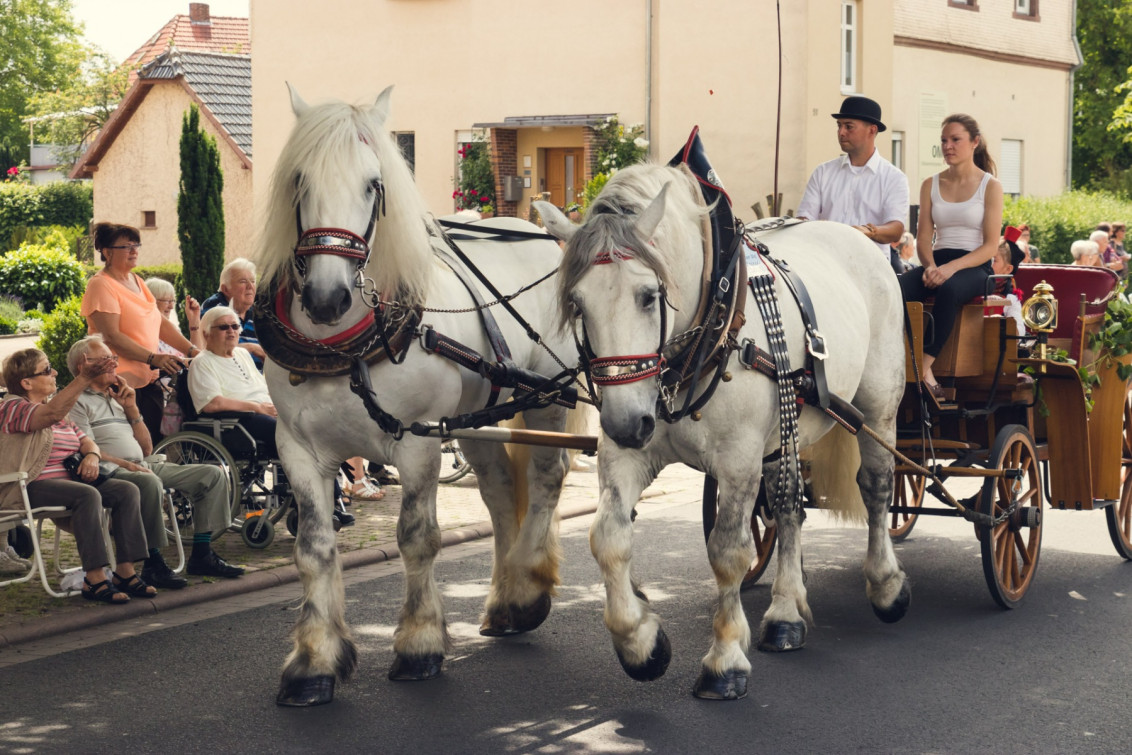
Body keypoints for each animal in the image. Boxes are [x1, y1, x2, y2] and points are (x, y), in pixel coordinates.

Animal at [256, 85, 575, 706]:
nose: (327, 298)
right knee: (499, 491)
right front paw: (314, 661)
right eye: (300, 180)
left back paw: (526, 590)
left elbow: (417, 537)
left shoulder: (418, 442)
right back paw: (505, 602)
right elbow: (313, 547)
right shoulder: (298, 449)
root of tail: (541, 233)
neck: (347, 347)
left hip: (546, 398)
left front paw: (420, 645)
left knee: (547, 480)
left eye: (373, 184)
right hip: (478, 416)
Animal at [536, 165, 910, 701]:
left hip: (877, 410)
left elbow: (729, 553)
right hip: (784, 431)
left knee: (876, 487)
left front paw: (726, 660)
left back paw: (886, 585)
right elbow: (607, 536)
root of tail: (856, 235)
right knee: (788, 507)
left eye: (648, 296)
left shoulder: (737, 461)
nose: (625, 423)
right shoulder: (627, 453)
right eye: (576, 303)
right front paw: (640, 644)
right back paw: (785, 613)